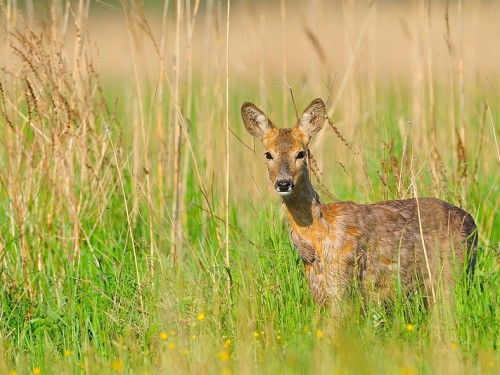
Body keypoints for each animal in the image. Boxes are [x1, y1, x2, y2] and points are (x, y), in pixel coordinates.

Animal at [241, 97, 476, 314]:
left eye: (301, 153)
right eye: (268, 154)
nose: (283, 183)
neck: (318, 237)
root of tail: (472, 222)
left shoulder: (342, 276)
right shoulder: (317, 287)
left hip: (452, 271)